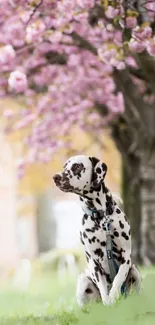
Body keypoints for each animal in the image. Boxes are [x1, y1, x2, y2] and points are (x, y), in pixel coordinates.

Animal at [53, 156, 140, 306]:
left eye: (77, 166)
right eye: (64, 166)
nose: (56, 177)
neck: (101, 217)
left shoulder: (126, 256)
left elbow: (118, 278)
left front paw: (114, 295)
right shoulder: (94, 262)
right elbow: (103, 289)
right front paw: (108, 302)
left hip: (135, 271)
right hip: (83, 280)